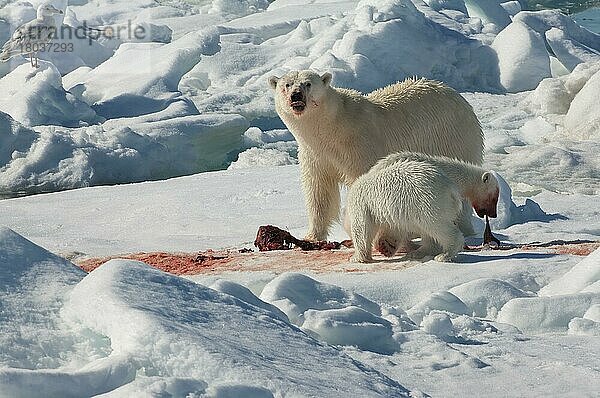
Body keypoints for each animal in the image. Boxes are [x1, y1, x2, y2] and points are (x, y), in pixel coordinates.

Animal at [270, 68, 486, 249]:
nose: (296, 95)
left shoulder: (360, 146)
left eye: (308, 83)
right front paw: (312, 236)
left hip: (453, 137)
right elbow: (319, 192)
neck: (332, 129)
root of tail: (458, 97)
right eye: (287, 84)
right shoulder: (315, 155)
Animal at [350, 154, 500, 262]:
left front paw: (357, 257)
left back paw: (443, 255)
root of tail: (450, 189)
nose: (494, 215)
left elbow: (362, 229)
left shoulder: (363, 205)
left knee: (435, 226)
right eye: (493, 199)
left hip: (426, 203)